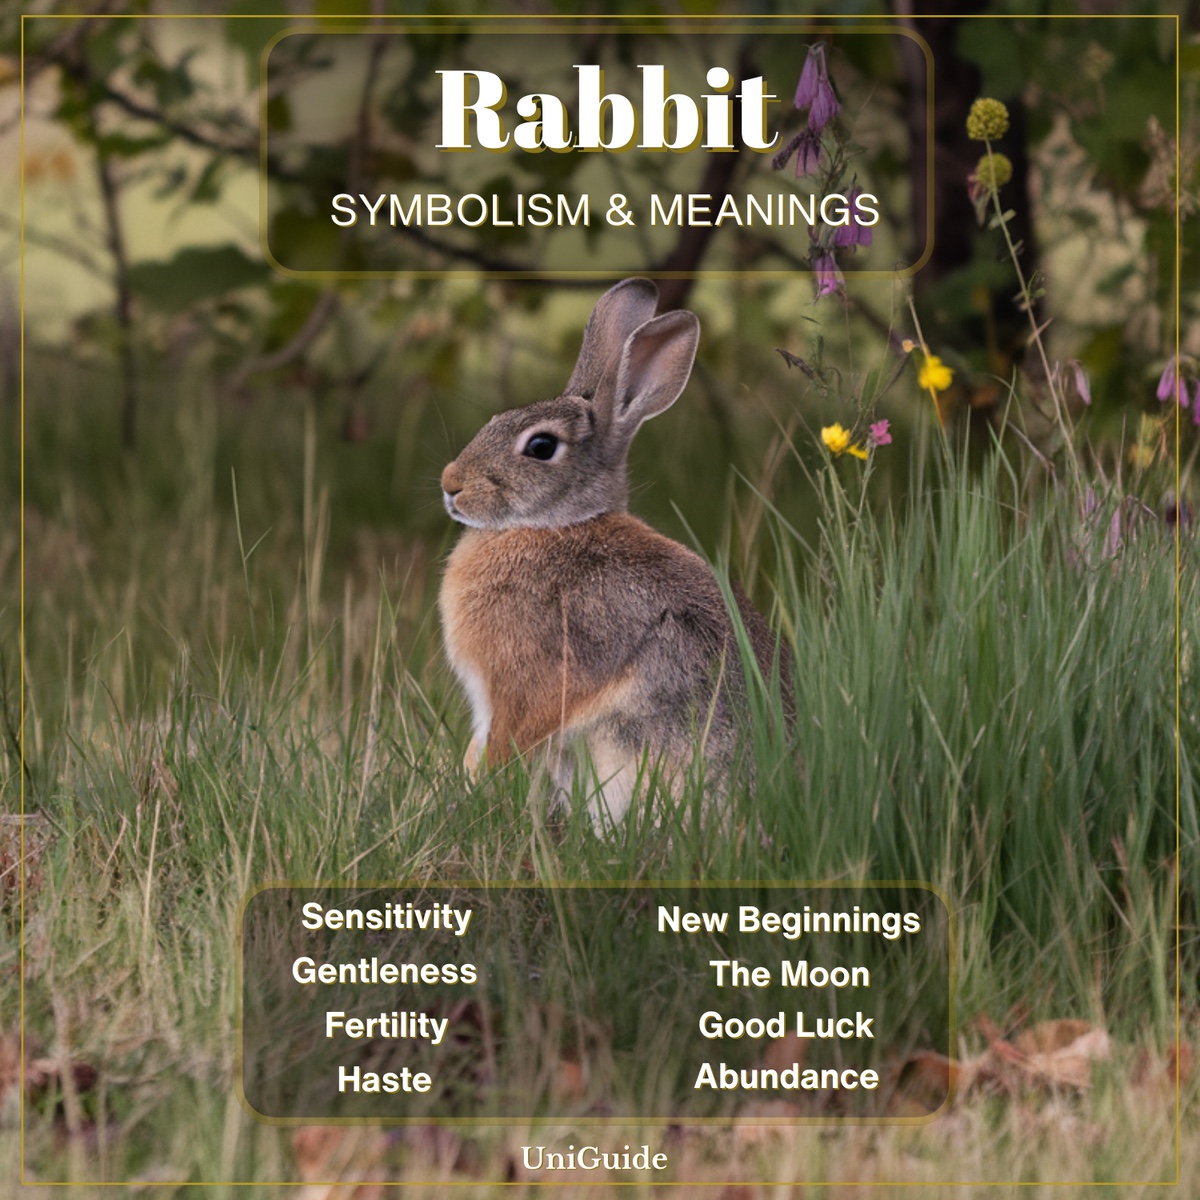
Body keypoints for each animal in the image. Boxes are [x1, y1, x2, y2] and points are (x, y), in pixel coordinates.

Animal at [439, 278, 789, 825]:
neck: (558, 524)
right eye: (495, 419)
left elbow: (502, 741)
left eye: (540, 447)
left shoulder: (520, 685)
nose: (450, 484)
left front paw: (469, 788)